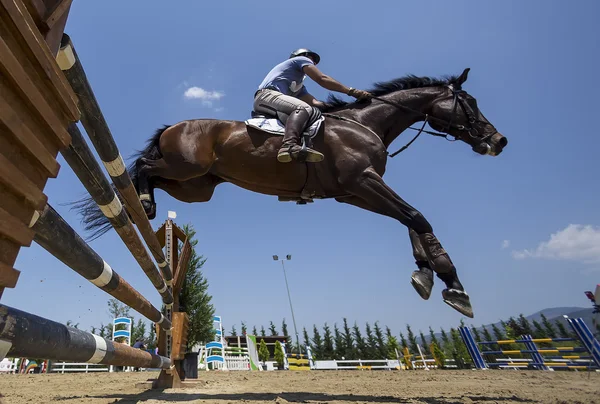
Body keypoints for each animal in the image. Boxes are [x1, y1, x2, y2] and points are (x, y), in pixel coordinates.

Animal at [74, 68, 506, 318]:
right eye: (469, 102)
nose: (499, 141)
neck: (365, 123)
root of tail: (173, 126)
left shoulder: (355, 192)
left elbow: (410, 221)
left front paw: (426, 275)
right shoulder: (362, 182)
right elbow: (416, 215)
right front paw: (454, 286)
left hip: (195, 186)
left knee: (154, 175)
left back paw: (146, 203)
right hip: (186, 168)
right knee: (145, 169)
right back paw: (144, 203)